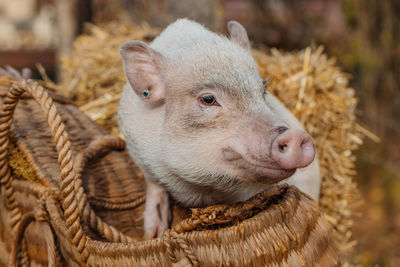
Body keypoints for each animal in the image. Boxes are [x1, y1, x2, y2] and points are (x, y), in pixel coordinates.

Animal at [117, 19, 320, 241]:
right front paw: (152, 235)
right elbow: (154, 186)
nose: (295, 135)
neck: (202, 190)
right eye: (208, 99)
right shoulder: (137, 149)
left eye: (263, 91)